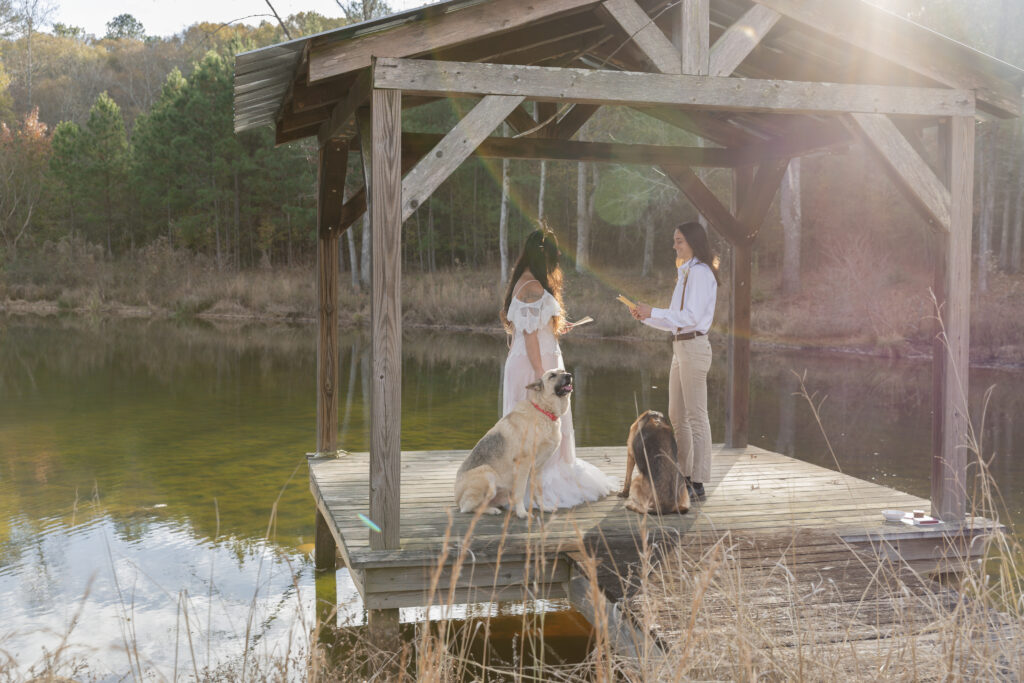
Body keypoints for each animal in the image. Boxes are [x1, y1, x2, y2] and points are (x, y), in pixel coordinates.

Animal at [458, 368, 577, 518]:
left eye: (563, 371)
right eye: (552, 375)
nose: (569, 376)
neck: (543, 410)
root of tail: (456, 498)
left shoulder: (538, 467)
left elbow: (538, 491)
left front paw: (543, 508)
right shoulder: (524, 464)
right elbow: (520, 492)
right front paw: (522, 513)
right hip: (487, 473)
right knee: (468, 507)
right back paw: (491, 510)